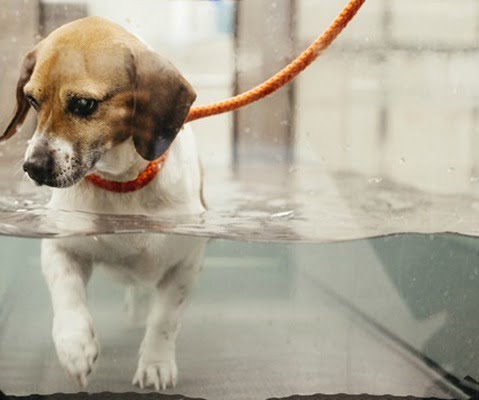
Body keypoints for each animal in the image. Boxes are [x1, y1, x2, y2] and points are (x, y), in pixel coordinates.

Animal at [1, 17, 208, 390]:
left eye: (83, 104)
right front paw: (74, 345)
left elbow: (164, 319)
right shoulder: (60, 246)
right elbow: (67, 294)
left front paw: (156, 363)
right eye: (32, 100)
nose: (33, 167)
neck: (122, 186)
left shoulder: (185, 264)